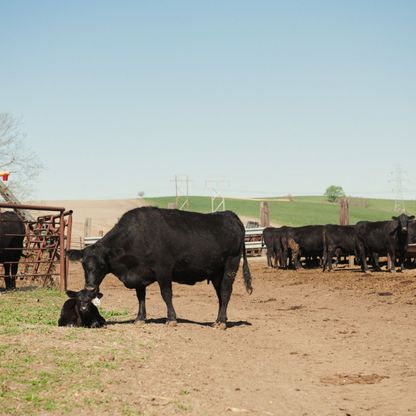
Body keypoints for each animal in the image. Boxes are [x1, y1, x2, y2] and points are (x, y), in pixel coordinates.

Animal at [67, 206, 254, 330]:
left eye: (102, 264)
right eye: (83, 264)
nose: (90, 288)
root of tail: (229, 215)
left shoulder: (163, 271)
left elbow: (166, 294)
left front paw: (171, 319)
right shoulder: (139, 275)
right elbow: (140, 297)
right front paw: (140, 318)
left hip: (231, 264)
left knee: (226, 292)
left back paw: (221, 322)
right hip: (216, 272)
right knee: (221, 294)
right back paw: (220, 320)